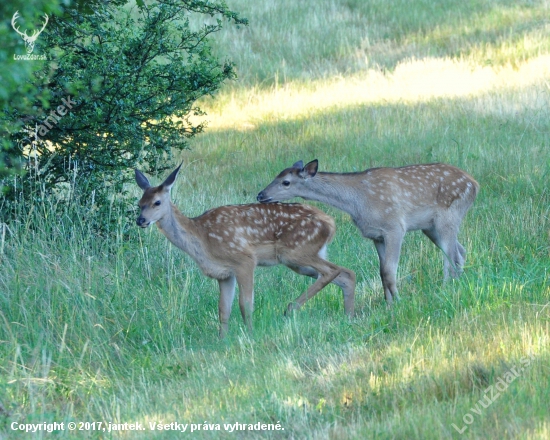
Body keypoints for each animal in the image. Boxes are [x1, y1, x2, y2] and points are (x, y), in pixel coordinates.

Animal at [136, 163, 356, 338]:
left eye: (157, 202)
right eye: (139, 203)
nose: (141, 220)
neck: (202, 238)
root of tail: (330, 222)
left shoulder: (244, 260)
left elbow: (245, 305)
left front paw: (250, 334)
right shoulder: (224, 273)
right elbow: (223, 309)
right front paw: (222, 340)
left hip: (296, 251)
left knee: (333, 270)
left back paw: (291, 308)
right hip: (303, 260)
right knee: (346, 273)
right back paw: (348, 316)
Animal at [258, 159, 478, 306]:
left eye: (286, 182)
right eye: (276, 175)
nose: (261, 195)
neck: (358, 202)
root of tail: (475, 183)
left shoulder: (394, 227)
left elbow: (389, 270)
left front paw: (398, 302)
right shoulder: (376, 235)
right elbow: (382, 272)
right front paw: (388, 304)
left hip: (449, 215)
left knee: (451, 256)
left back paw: (447, 287)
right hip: (430, 227)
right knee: (460, 251)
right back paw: (458, 282)